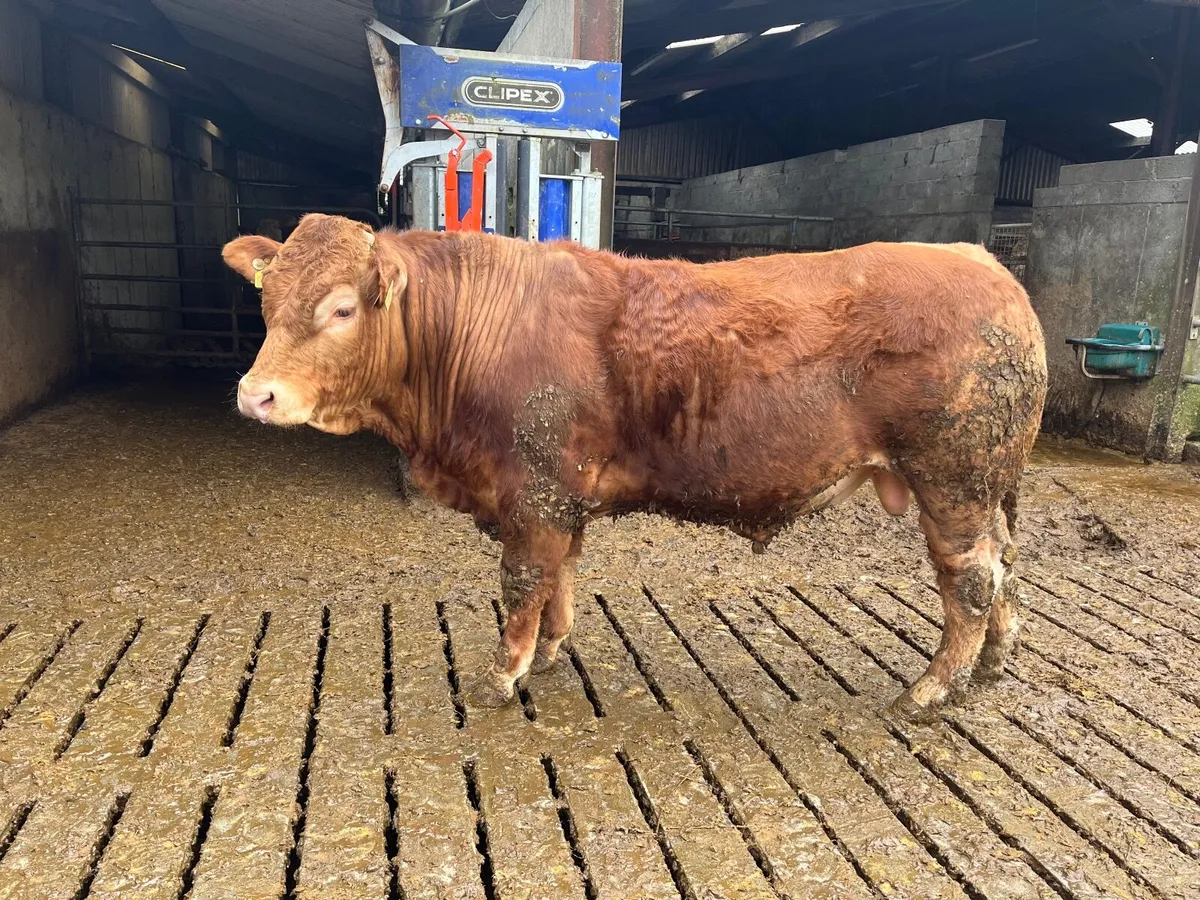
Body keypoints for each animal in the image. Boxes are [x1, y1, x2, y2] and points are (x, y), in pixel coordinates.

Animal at [223, 214, 1047, 723]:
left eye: (340, 308)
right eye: (267, 299)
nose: (255, 394)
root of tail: (982, 262)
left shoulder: (532, 490)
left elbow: (522, 582)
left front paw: (502, 675)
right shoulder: (559, 495)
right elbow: (559, 575)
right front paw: (551, 651)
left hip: (955, 482)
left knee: (971, 582)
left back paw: (930, 690)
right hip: (981, 491)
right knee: (1003, 571)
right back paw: (990, 667)